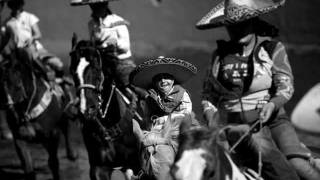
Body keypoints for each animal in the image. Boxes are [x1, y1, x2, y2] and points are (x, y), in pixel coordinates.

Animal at [0, 45, 77, 179]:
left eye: (17, 85)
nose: (8, 107)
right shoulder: (19, 139)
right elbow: (28, 167)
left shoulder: (53, 134)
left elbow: (53, 162)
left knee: (66, 128)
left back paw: (72, 154)